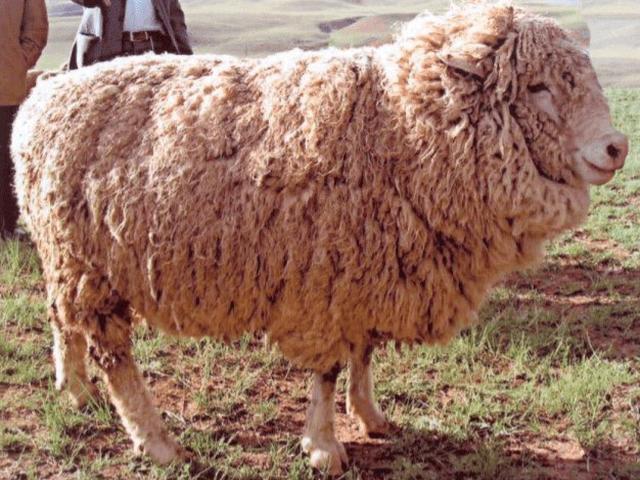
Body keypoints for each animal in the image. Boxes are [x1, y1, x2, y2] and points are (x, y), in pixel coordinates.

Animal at [11, 1, 628, 474]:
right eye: (538, 87)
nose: (617, 147)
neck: (399, 130)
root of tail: (42, 98)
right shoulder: (325, 280)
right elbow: (327, 371)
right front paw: (325, 445)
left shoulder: (369, 269)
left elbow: (365, 352)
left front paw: (370, 415)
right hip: (90, 261)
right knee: (114, 354)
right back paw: (156, 441)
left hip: (63, 254)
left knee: (60, 317)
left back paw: (75, 389)